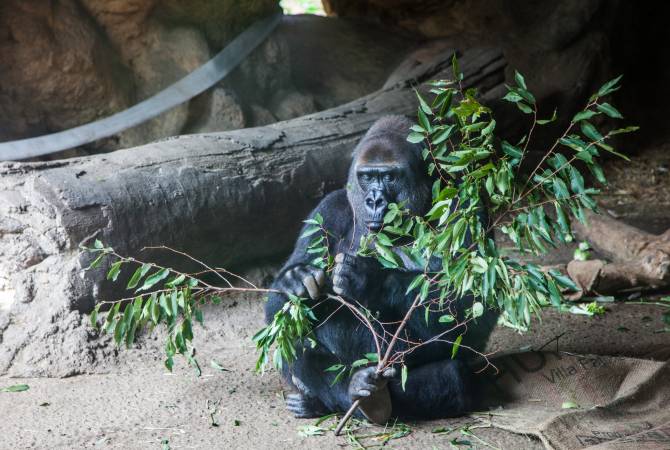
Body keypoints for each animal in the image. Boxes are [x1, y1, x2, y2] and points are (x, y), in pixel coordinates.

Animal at [266, 114, 498, 424]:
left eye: (389, 176)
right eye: (367, 177)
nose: (374, 200)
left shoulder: (464, 206)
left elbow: (473, 305)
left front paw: (368, 279)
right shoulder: (327, 210)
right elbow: (278, 310)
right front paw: (295, 281)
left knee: (455, 376)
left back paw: (372, 401)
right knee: (294, 336)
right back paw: (345, 393)